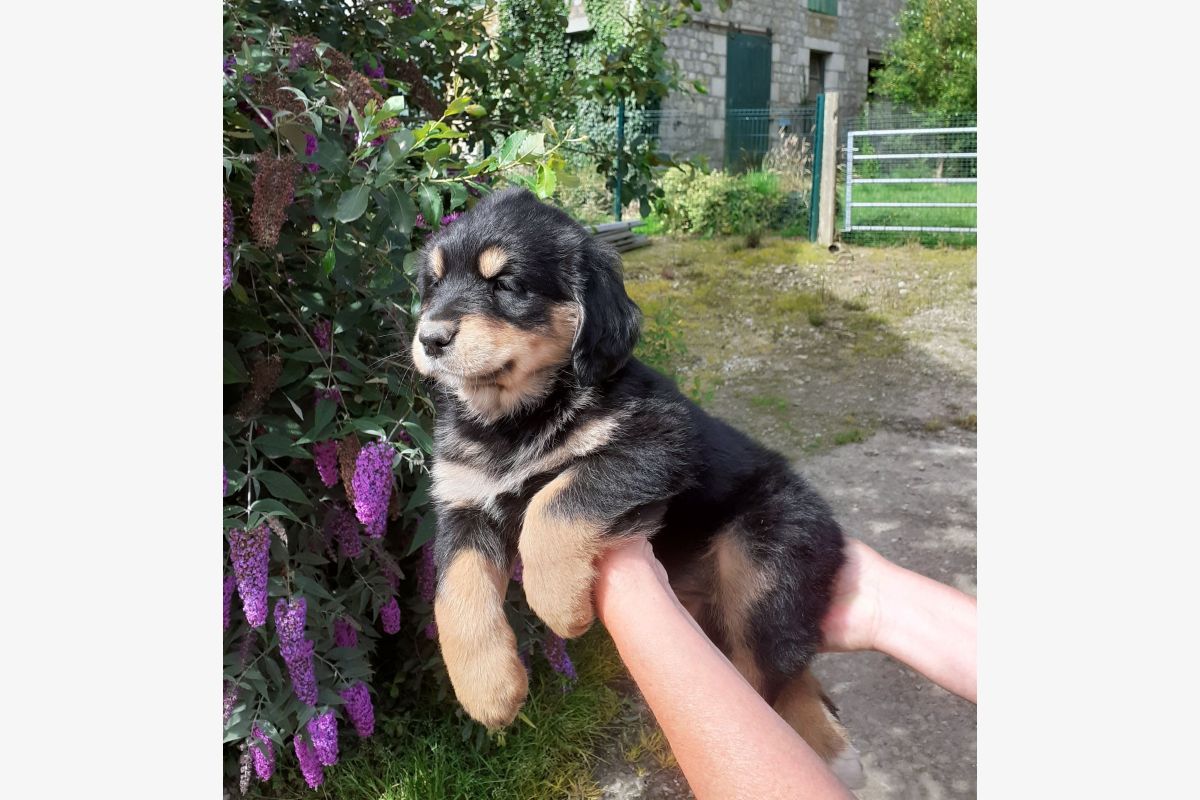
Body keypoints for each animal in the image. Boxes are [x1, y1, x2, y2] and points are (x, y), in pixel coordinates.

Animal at [412, 184, 864, 786]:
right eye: (433, 285)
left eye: (506, 284)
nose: (430, 337)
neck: (513, 420)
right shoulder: (462, 500)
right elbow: (456, 591)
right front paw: (488, 690)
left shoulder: (658, 443)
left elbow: (558, 499)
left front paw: (559, 605)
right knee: (791, 664)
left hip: (765, 562)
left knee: (772, 670)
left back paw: (830, 749)